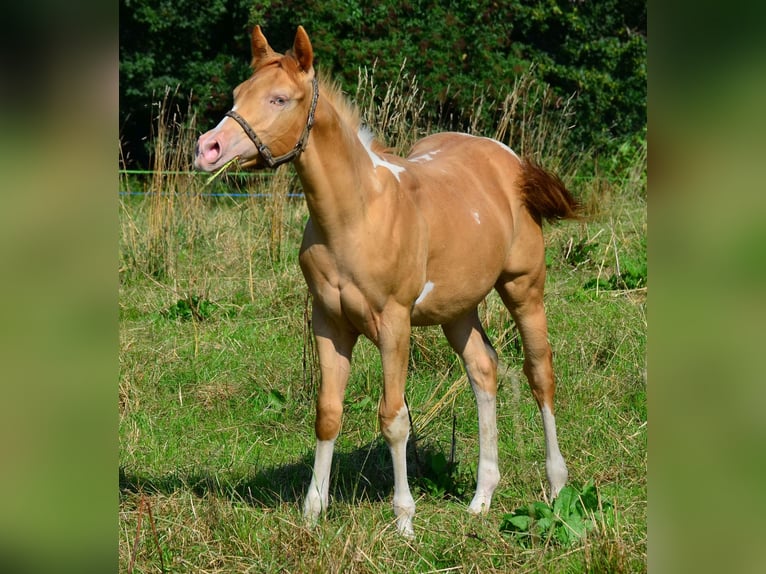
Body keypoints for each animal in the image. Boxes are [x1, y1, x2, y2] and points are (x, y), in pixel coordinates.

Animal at [195, 25, 579, 537]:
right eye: (238, 93)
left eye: (279, 99)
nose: (208, 149)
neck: (356, 215)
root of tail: (509, 162)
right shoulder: (330, 324)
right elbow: (328, 413)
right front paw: (313, 512)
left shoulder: (394, 324)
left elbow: (394, 418)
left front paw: (404, 519)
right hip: (456, 309)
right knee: (483, 368)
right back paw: (481, 498)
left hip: (524, 288)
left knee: (540, 374)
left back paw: (556, 488)